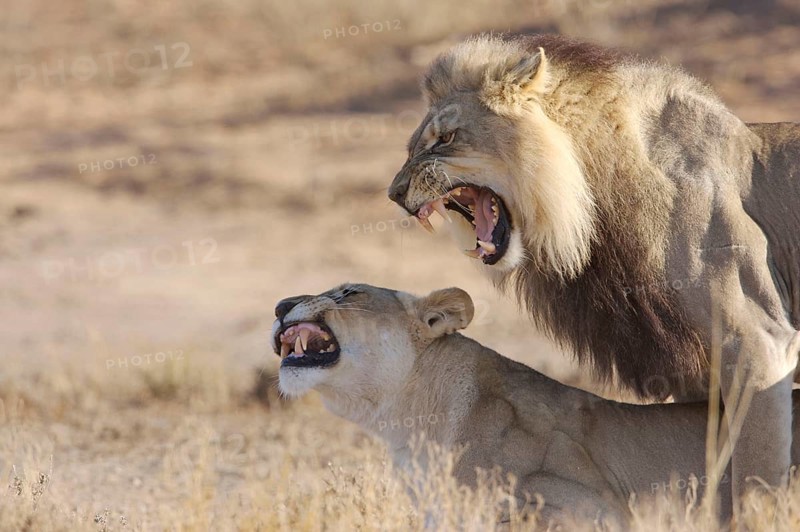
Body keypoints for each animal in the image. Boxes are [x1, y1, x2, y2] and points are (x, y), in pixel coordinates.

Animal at [386, 33, 800, 505]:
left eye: (445, 138)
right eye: (411, 148)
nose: (394, 193)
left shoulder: (760, 343)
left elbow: (756, 482)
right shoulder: (690, 368)